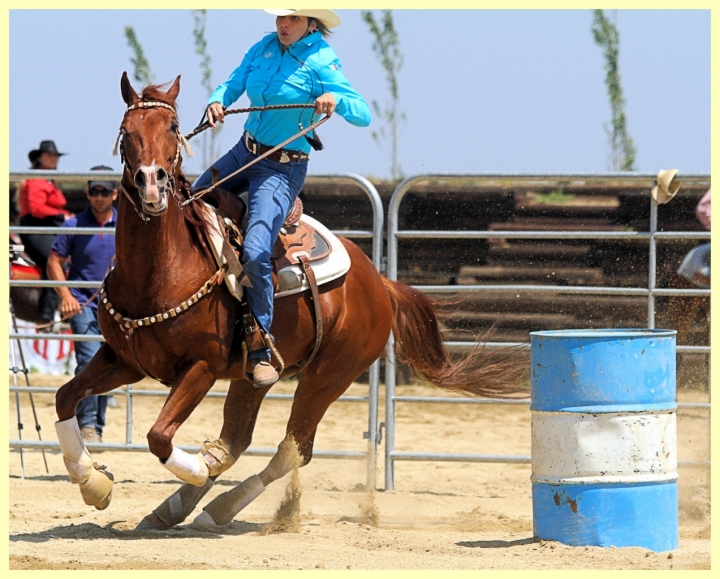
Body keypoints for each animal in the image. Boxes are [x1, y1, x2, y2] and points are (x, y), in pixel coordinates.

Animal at [50, 72, 524, 536]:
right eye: (126, 130)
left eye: (172, 127)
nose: (152, 183)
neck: (160, 271)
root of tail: (380, 284)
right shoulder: (123, 360)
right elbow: (65, 397)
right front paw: (93, 483)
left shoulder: (200, 367)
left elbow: (159, 436)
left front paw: (190, 469)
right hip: (256, 374)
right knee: (236, 441)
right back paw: (174, 508)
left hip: (327, 377)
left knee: (293, 449)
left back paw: (218, 508)